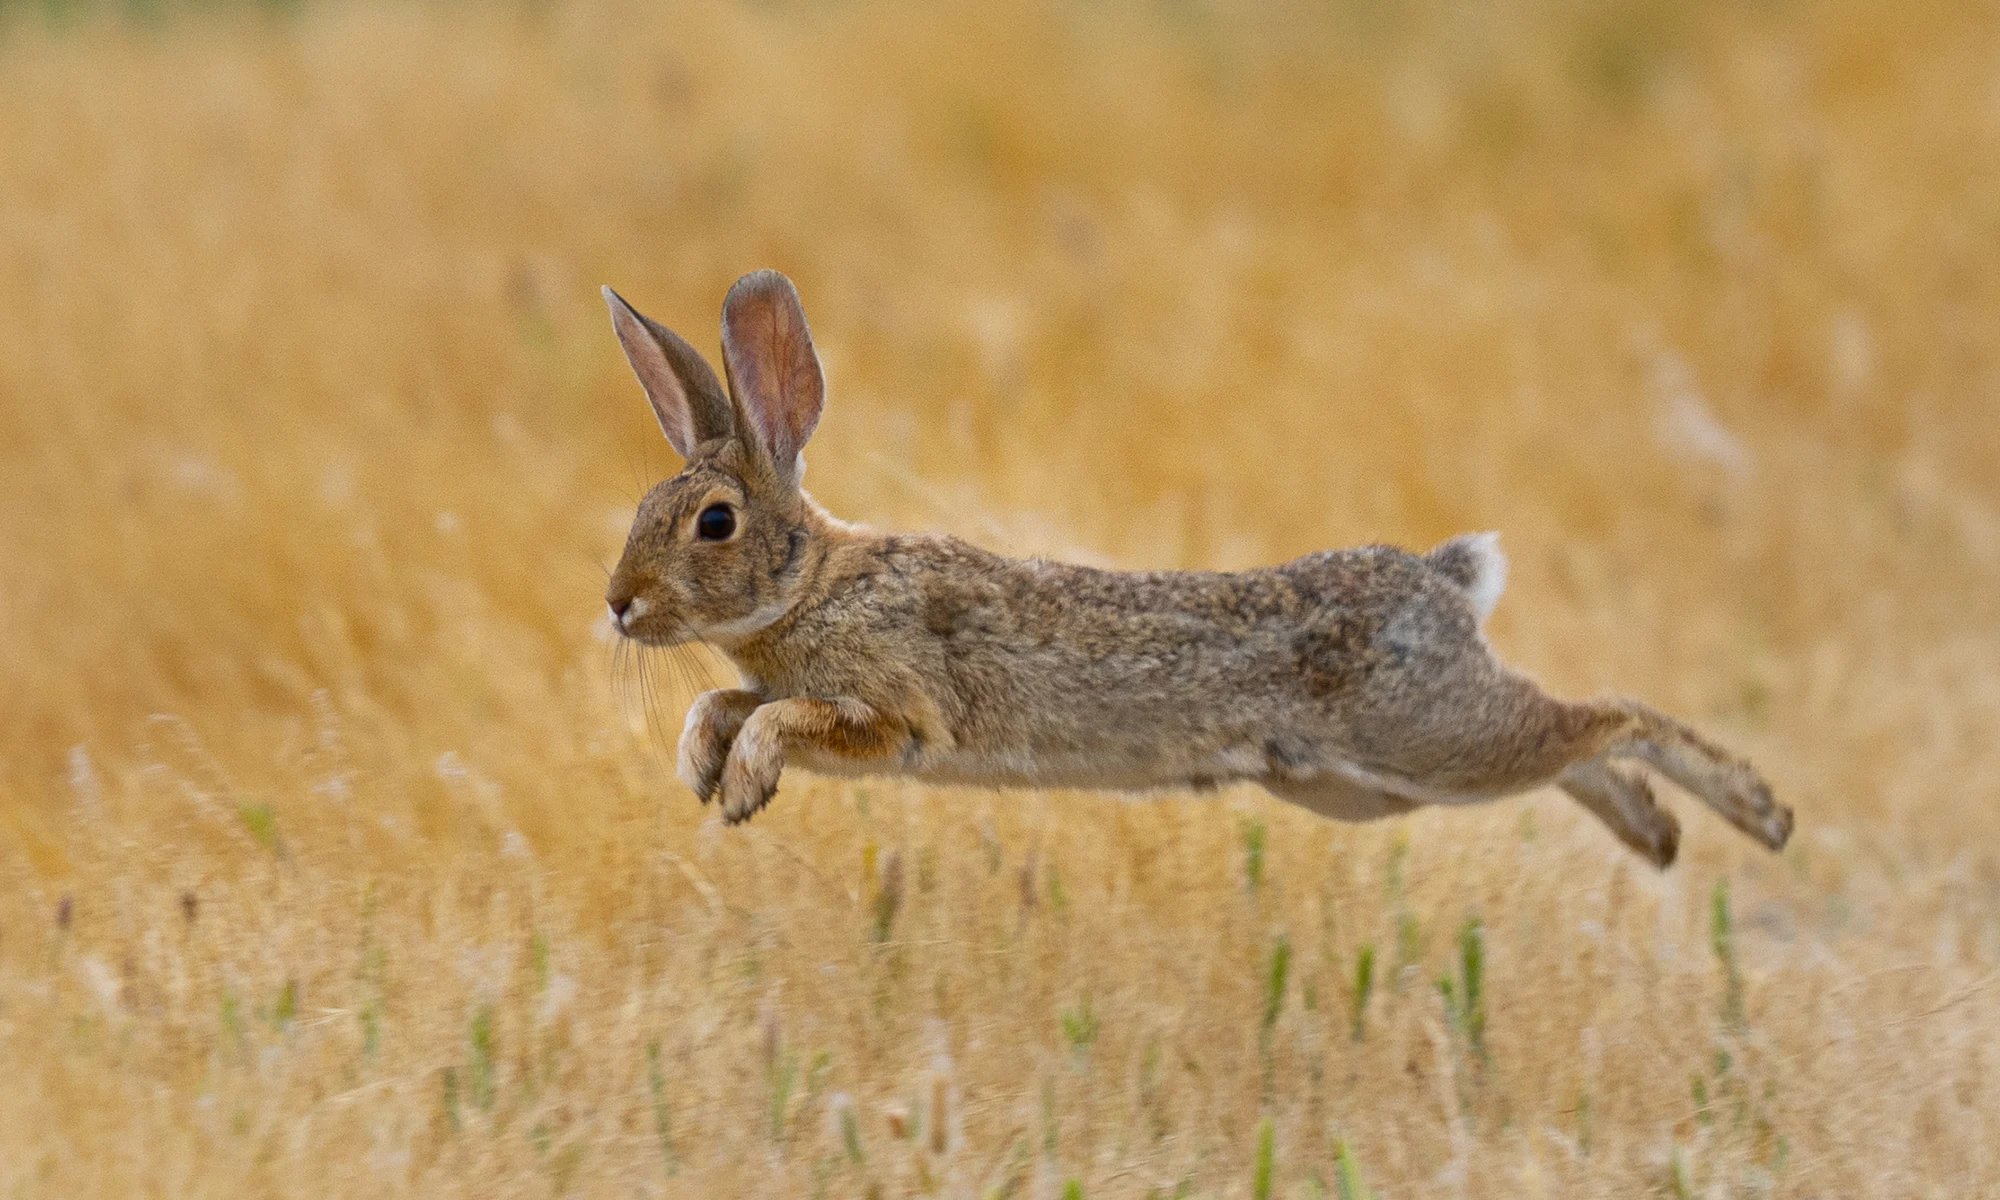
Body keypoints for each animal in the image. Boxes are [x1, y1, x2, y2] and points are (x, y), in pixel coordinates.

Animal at [600, 270, 1792, 868]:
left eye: (712, 522)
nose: (617, 605)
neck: (813, 580)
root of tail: (1442, 583)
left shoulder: (894, 713)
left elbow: (782, 718)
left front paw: (741, 784)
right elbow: (720, 701)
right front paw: (699, 768)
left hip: (1428, 735)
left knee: (1611, 716)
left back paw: (1752, 813)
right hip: (1364, 782)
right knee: (1578, 746)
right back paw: (1656, 835)